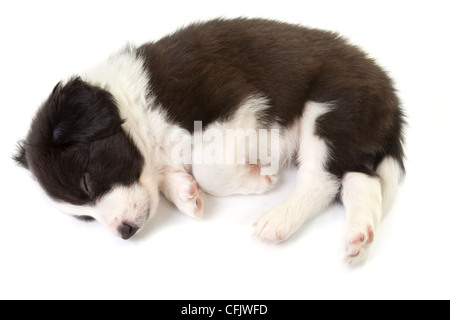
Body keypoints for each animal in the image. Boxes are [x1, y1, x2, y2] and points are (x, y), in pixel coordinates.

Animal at [15, 17, 406, 264]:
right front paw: (185, 194)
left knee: (322, 180)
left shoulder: (234, 103)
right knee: (362, 182)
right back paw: (358, 237)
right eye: (85, 218)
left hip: (330, 106)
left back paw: (278, 221)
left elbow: (209, 170)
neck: (132, 105)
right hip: (350, 132)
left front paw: (257, 179)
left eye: (86, 182)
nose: (124, 232)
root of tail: (389, 91)